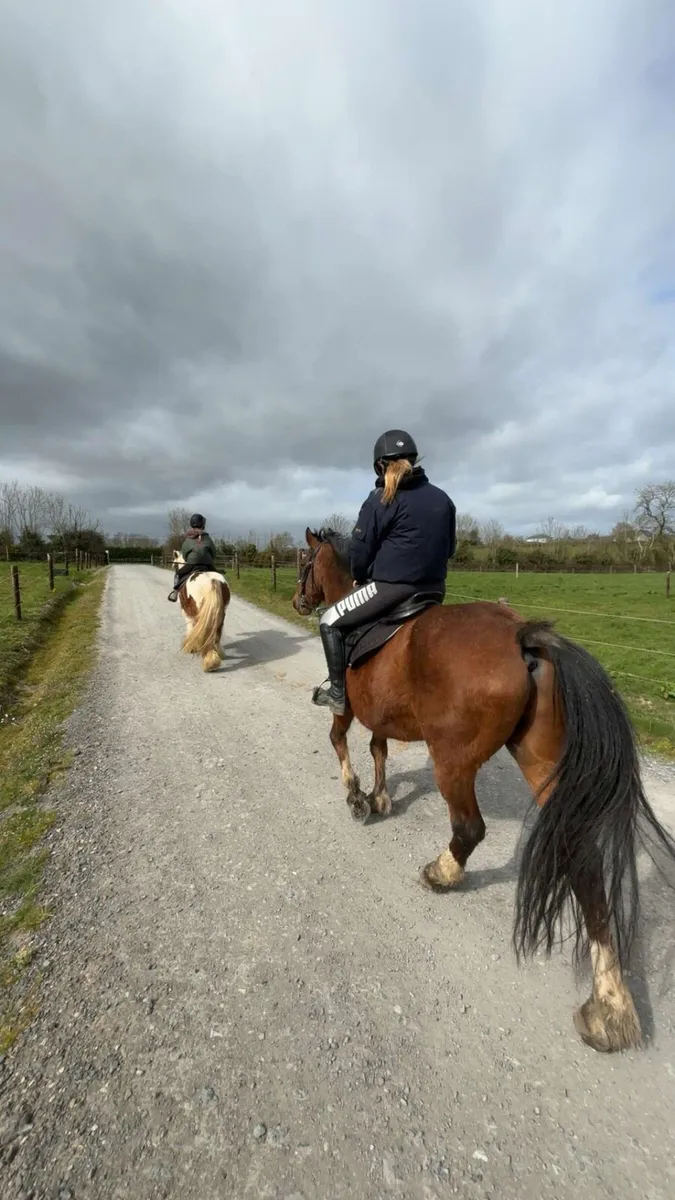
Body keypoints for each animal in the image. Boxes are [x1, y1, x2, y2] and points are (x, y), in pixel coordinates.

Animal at [293, 528, 675, 1054]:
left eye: (304, 561)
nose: (297, 601)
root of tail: (522, 636)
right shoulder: (381, 716)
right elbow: (378, 748)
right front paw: (381, 796)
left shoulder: (348, 707)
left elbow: (342, 742)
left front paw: (356, 796)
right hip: (542, 763)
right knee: (583, 862)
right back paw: (611, 1006)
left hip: (452, 761)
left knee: (469, 828)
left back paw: (442, 872)